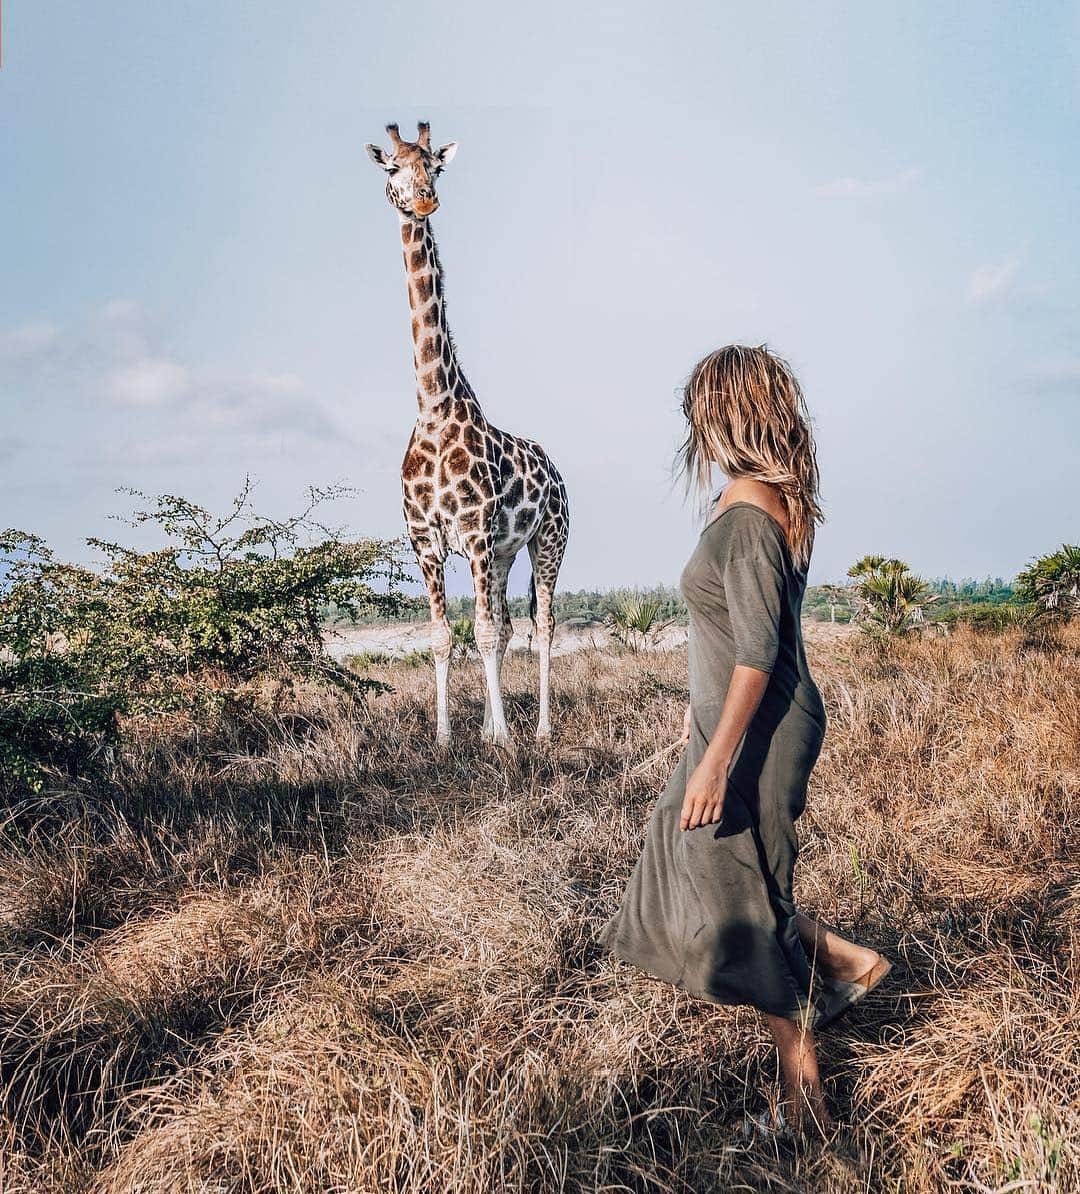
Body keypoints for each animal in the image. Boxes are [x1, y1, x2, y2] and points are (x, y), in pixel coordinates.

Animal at [365, 122, 569, 746]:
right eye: (393, 168)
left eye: (435, 165)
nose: (425, 199)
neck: (433, 407)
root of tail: (557, 471)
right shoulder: (425, 540)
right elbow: (443, 635)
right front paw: (447, 736)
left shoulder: (475, 534)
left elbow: (478, 631)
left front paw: (501, 737)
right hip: (504, 553)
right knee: (504, 626)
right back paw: (486, 723)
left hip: (547, 541)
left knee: (542, 624)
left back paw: (540, 729)